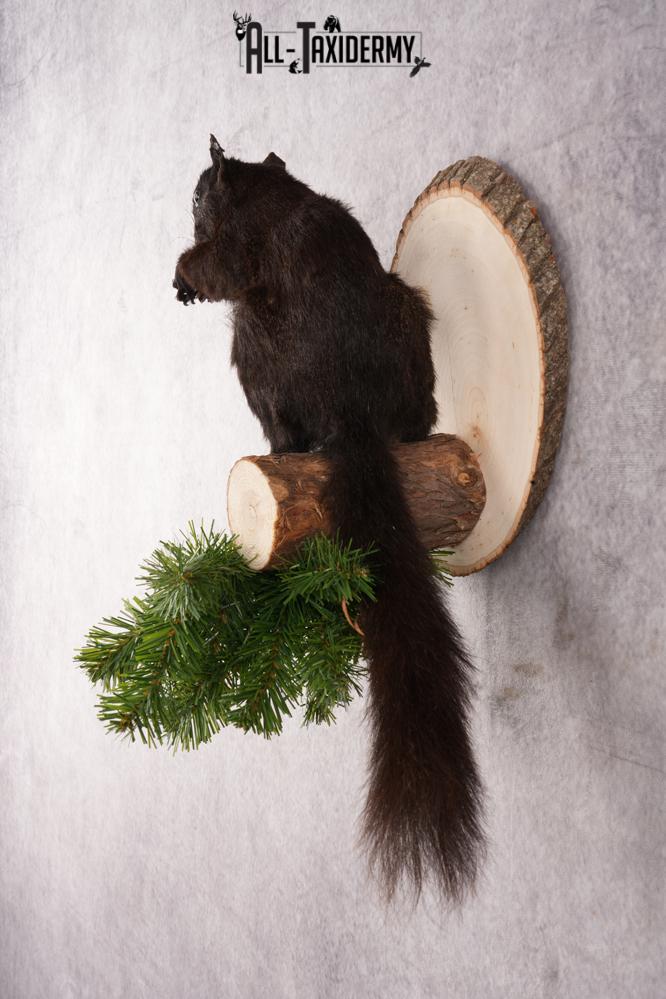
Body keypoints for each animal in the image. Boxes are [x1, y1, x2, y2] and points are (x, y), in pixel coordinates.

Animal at [173, 135, 484, 902]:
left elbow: (218, 263)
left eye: (198, 193)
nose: (185, 204)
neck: (272, 195)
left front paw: (183, 274)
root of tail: (350, 415)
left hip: (269, 354)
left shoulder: (233, 245)